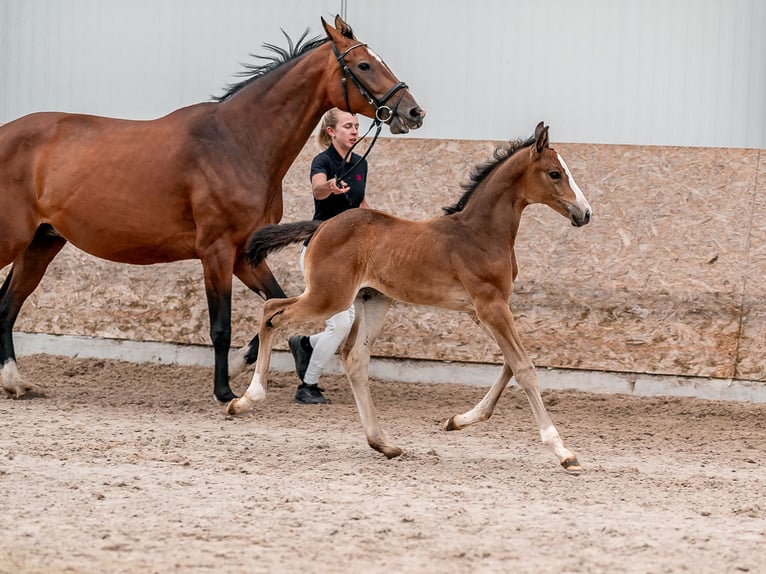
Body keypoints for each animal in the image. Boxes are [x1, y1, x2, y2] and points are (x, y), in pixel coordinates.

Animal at [0, 16, 426, 404]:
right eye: (364, 65)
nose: (413, 112)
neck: (238, 143)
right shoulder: (216, 252)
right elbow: (221, 326)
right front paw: (225, 390)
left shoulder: (244, 255)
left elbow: (276, 306)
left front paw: (274, 367)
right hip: (13, 240)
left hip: (41, 243)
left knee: (7, 306)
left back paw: (15, 383)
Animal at [228, 124, 592, 474]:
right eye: (555, 173)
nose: (585, 213)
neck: (480, 234)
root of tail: (320, 226)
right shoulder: (490, 305)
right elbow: (524, 367)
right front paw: (563, 452)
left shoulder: (481, 310)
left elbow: (510, 363)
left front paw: (458, 420)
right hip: (328, 296)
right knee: (272, 312)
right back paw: (244, 398)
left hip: (372, 300)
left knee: (354, 358)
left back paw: (383, 443)